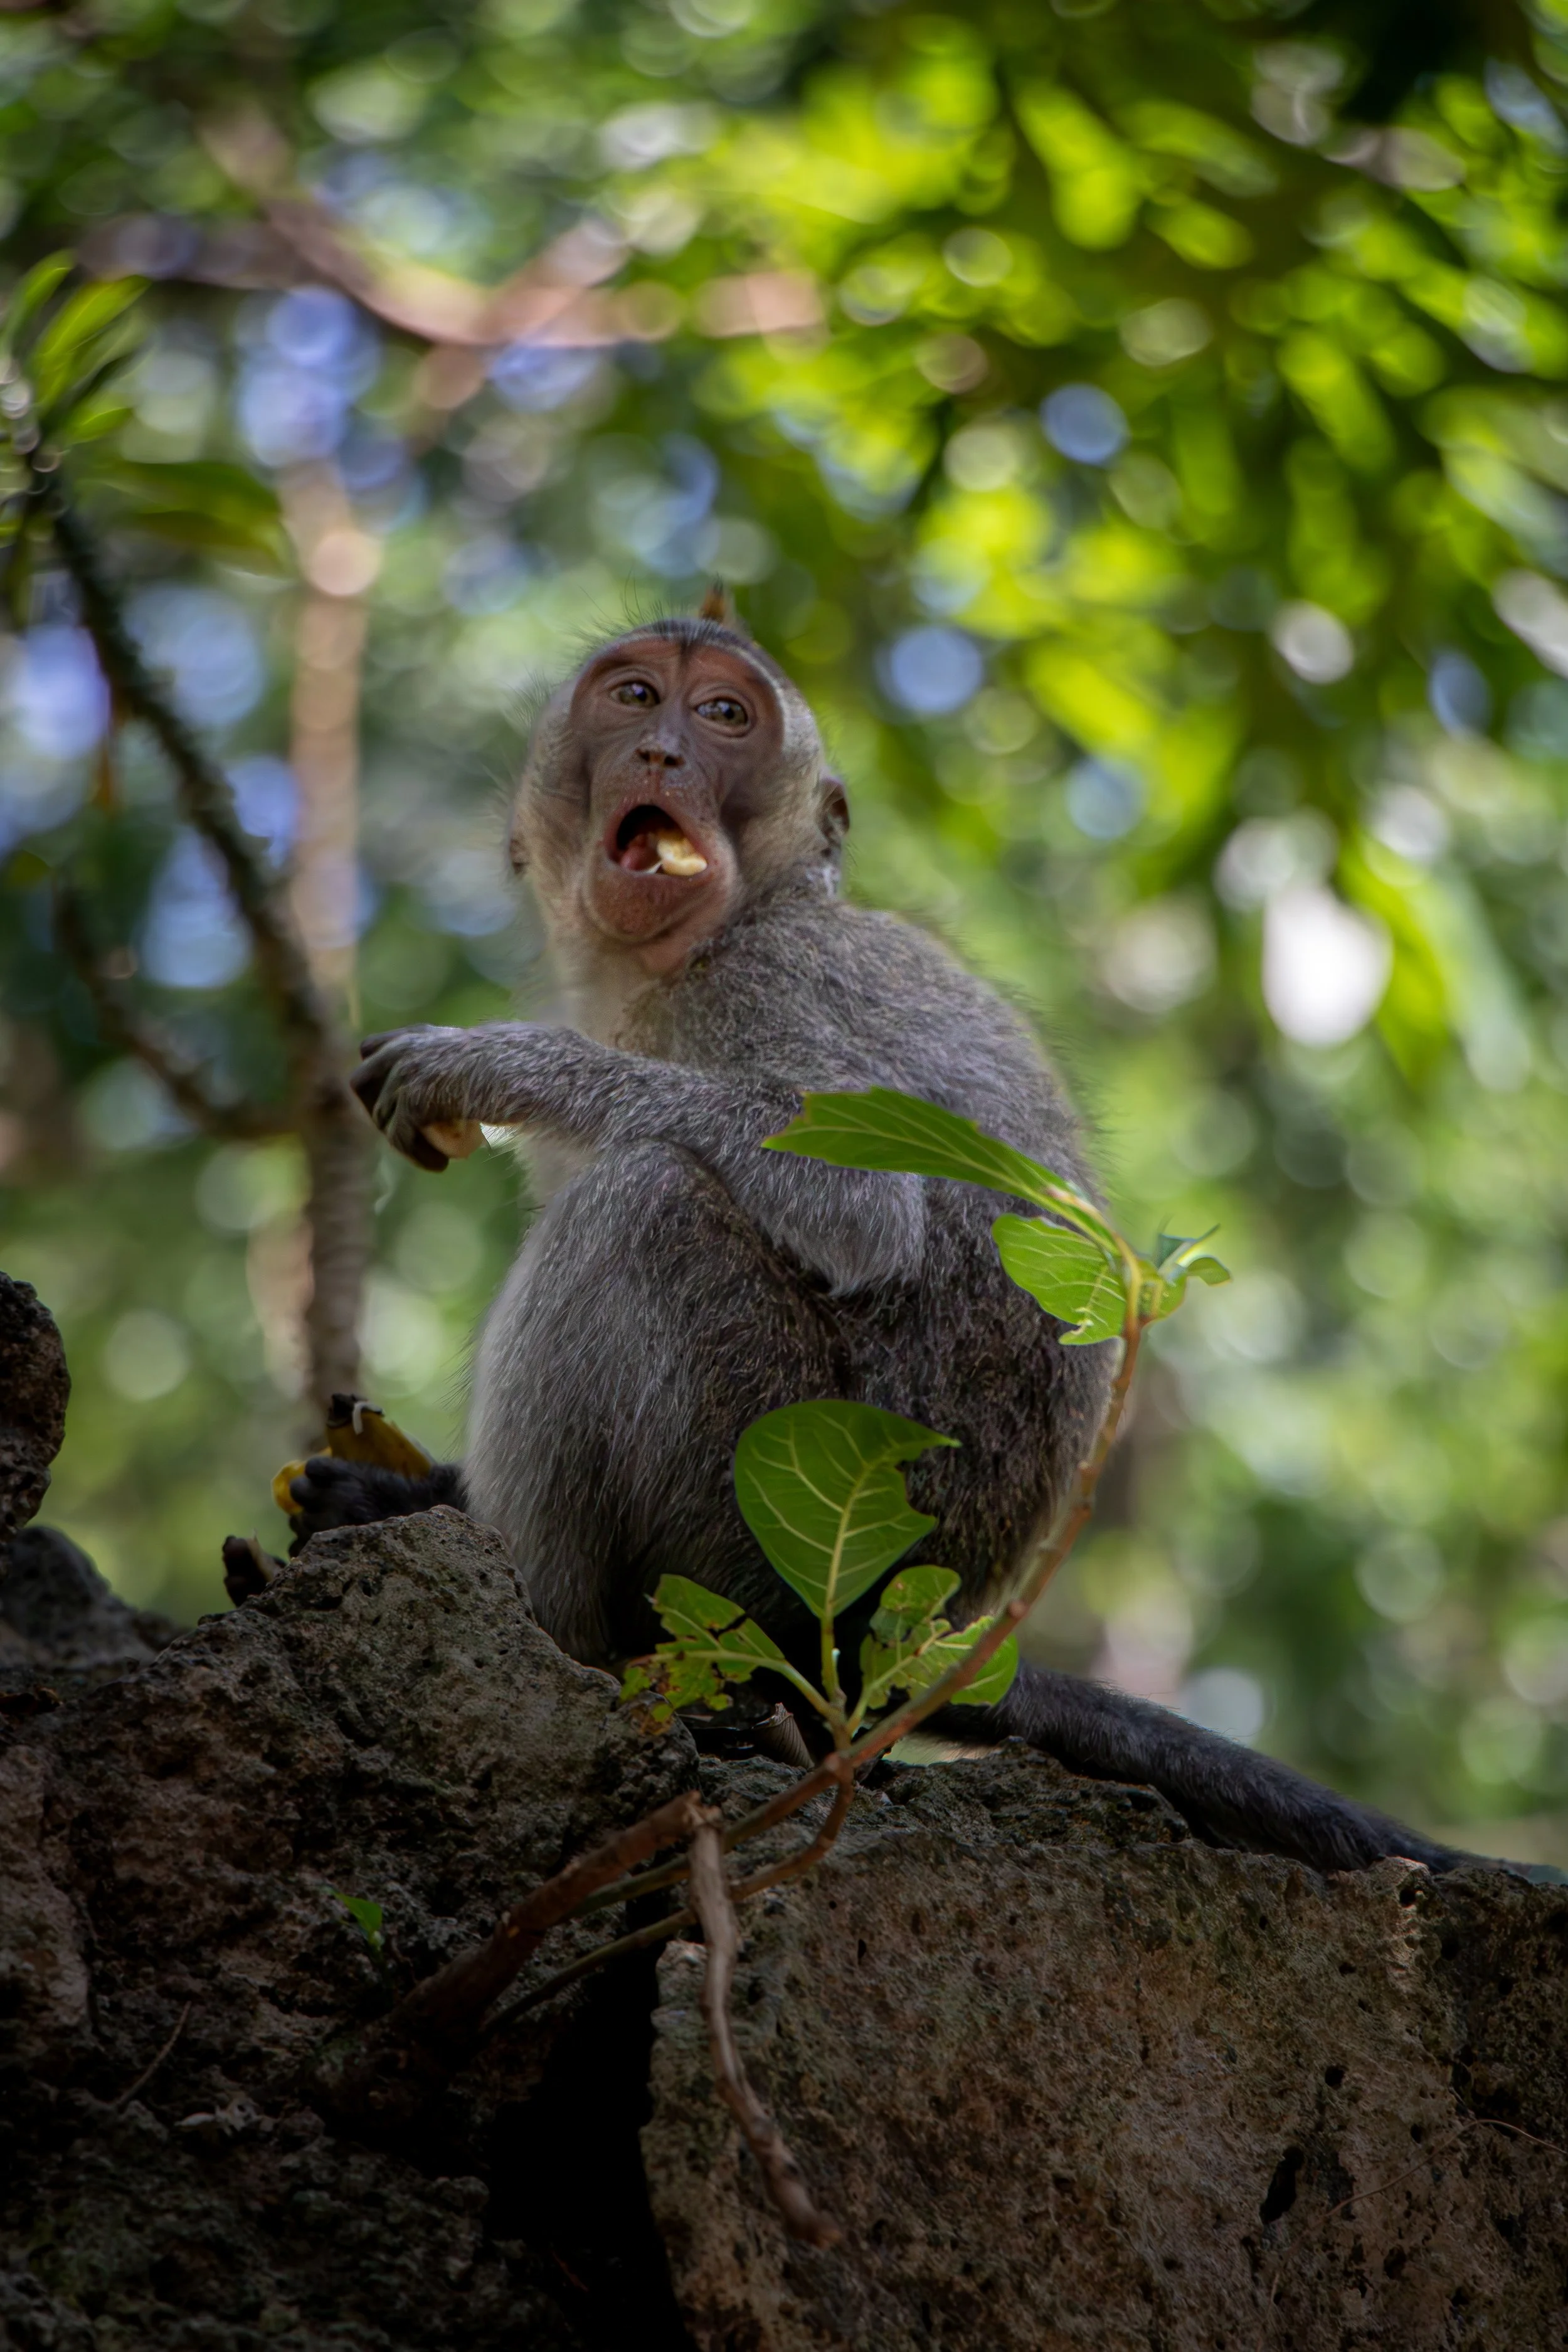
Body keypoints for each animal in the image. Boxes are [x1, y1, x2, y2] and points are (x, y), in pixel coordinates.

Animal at [290, 601, 1463, 1877]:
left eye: (724, 714)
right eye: (634, 696)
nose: (662, 752)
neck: (705, 938)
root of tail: (901, 1635)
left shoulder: (768, 982)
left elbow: (862, 1207)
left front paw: (497, 1062)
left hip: (756, 1537)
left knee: (645, 1199)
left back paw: (539, 1619)